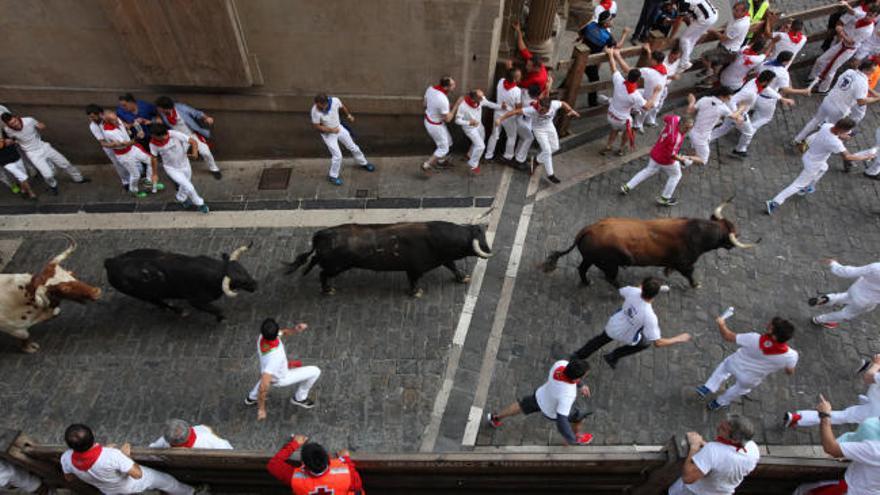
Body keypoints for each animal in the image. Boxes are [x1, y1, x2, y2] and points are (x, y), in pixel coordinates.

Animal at [103, 246, 256, 324]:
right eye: (240, 281)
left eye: (244, 270)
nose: (255, 285)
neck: (215, 272)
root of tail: (110, 262)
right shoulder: (196, 301)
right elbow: (217, 309)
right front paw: (222, 318)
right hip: (142, 295)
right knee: (157, 301)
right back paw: (178, 310)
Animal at [288, 223, 496, 296]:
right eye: (479, 239)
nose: (489, 249)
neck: (435, 237)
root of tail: (321, 235)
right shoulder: (414, 270)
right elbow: (414, 282)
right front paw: (416, 293)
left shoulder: (443, 258)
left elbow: (452, 266)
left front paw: (463, 278)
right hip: (336, 267)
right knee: (322, 274)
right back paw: (328, 290)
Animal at [544, 201, 756, 288]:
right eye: (729, 236)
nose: (737, 237)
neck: (697, 232)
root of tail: (589, 229)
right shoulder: (686, 264)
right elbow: (689, 274)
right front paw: (695, 284)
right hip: (609, 265)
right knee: (610, 278)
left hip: (590, 259)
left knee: (582, 269)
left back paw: (587, 282)